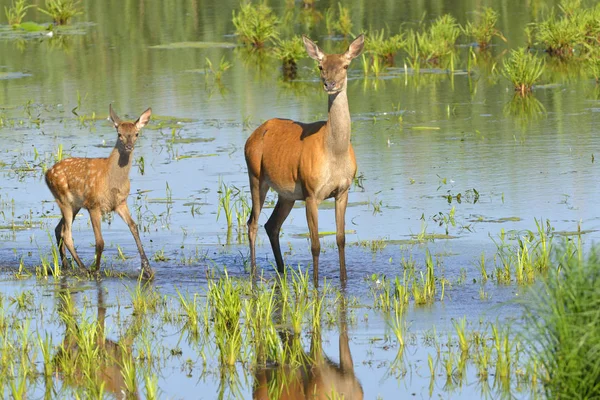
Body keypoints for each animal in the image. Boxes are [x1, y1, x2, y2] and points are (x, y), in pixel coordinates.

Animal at [46, 104, 154, 280]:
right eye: (119, 134)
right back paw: (84, 269)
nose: (129, 146)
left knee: (58, 229)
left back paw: (67, 266)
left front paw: (148, 270)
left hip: (75, 205)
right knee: (66, 233)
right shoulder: (93, 205)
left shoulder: (120, 202)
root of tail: (46, 173)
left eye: (136, 133)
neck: (112, 180)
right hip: (63, 199)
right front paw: (97, 271)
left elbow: (134, 227)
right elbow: (100, 241)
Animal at [245, 35, 366, 284]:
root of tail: (251, 137)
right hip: (255, 175)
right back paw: (253, 272)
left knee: (271, 225)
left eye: (345, 65)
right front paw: (316, 283)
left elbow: (341, 239)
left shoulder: (343, 191)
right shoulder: (311, 193)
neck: (335, 153)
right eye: (320, 66)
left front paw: (344, 280)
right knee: (252, 223)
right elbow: (316, 244)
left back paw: (281, 269)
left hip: (287, 193)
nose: (330, 84)